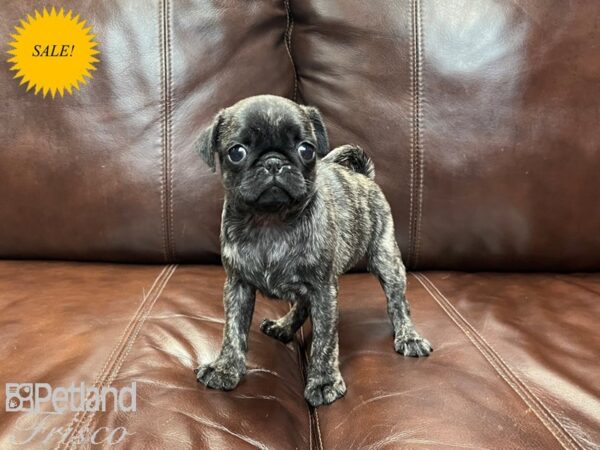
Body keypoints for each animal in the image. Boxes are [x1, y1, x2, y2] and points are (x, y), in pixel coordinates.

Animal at [193, 95, 432, 408]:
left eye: (306, 149)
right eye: (237, 152)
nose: (274, 162)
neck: (270, 220)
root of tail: (362, 176)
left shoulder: (324, 291)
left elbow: (324, 340)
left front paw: (324, 381)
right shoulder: (238, 286)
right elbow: (232, 331)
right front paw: (225, 369)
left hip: (386, 259)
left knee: (398, 302)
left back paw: (408, 337)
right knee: (301, 304)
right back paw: (284, 326)